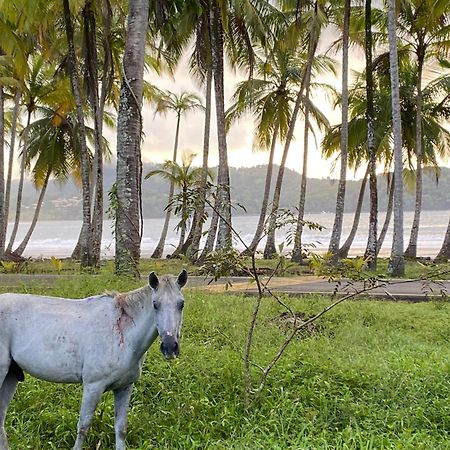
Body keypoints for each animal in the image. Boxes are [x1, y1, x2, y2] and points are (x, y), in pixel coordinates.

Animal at [0, 270, 187, 450]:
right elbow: (83, 427)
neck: (123, 331)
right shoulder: (93, 386)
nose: (170, 347)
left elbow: (121, 429)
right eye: (155, 304)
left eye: (181, 304)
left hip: (11, 377)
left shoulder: (124, 388)